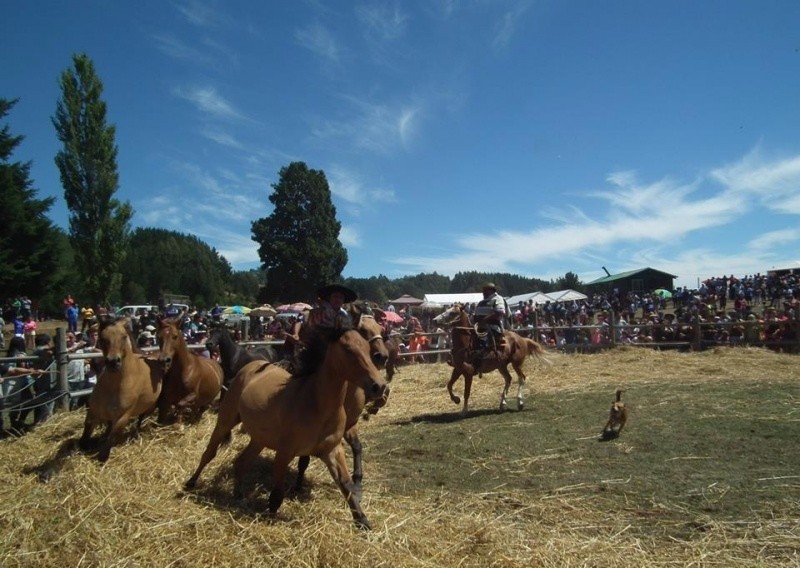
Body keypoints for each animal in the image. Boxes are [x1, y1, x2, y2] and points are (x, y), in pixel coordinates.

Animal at [79, 318, 165, 464]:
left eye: (124, 336)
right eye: (102, 338)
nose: (113, 362)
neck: (115, 386)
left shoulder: (123, 416)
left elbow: (109, 441)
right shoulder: (94, 411)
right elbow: (87, 429)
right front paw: (86, 444)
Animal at [185, 326, 390, 532]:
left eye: (367, 348)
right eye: (347, 349)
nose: (379, 386)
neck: (316, 404)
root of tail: (251, 366)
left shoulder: (332, 450)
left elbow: (346, 486)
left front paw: (363, 520)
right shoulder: (285, 451)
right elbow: (277, 493)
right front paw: (270, 515)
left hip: (259, 439)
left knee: (242, 462)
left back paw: (239, 495)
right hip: (226, 421)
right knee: (209, 453)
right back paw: (190, 483)